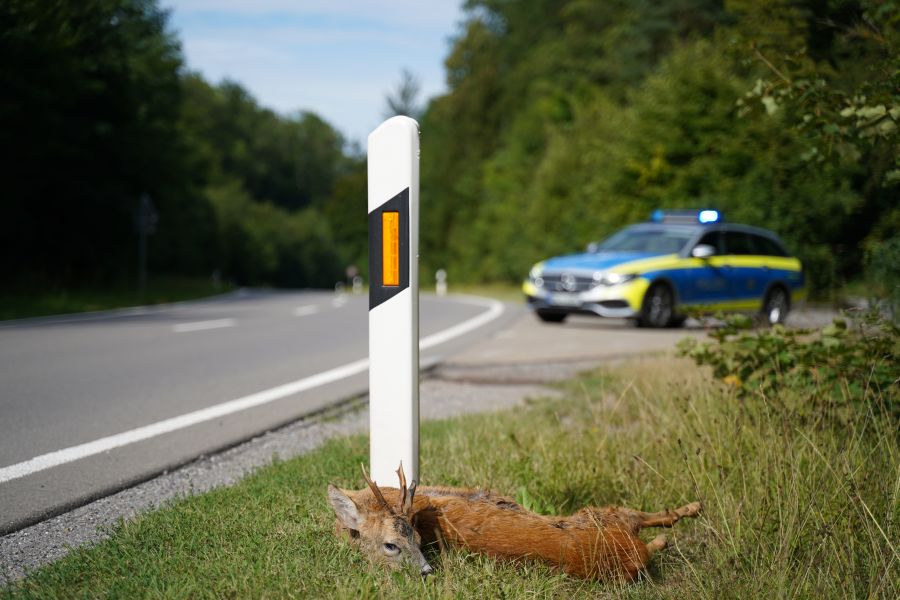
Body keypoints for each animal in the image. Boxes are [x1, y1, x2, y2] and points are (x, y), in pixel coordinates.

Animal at [326, 464, 704, 580]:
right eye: (390, 545)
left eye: (417, 540)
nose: (426, 571)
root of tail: (630, 558)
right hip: (597, 517)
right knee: (651, 524)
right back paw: (692, 508)